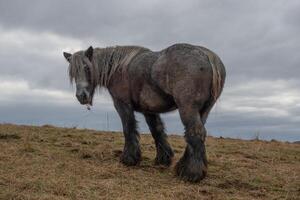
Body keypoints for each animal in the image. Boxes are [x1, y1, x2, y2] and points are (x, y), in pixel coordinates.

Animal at [62, 43, 225, 183]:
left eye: (87, 68)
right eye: (73, 73)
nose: (81, 96)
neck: (117, 67)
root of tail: (209, 56)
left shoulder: (122, 104)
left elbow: (128, 129)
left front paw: (129, 159)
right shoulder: (149, 111)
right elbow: (157, 131)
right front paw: (163, 159)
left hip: (188, 109)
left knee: (195, 133)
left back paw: (191, 174)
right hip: (203, 111)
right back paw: (184, 167)